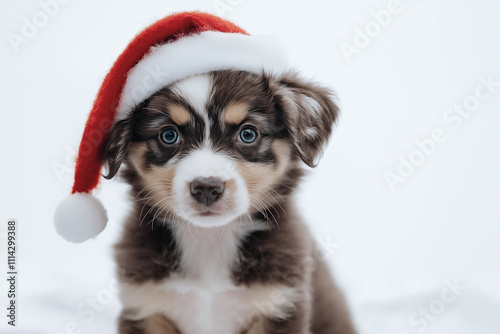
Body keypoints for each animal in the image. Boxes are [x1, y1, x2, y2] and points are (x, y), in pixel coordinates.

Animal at [103, 69, 358, 332]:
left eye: (247, 134)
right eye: (169, 135)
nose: (207, 188)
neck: (210, 241)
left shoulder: (279, 304)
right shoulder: (145, 308)